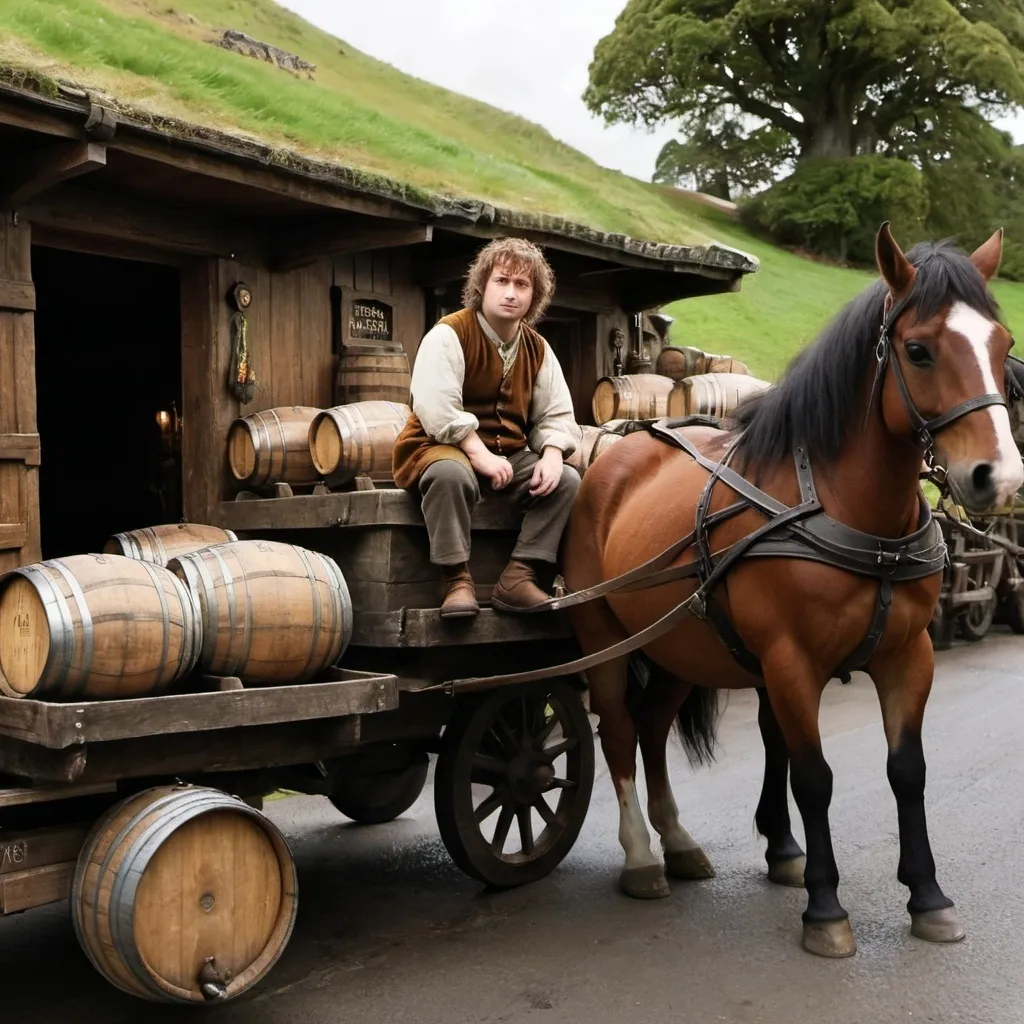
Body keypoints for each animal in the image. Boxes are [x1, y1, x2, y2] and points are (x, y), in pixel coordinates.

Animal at [561, 224, 1024, 958]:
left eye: (1002, 347)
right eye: (918, 350)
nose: (998, 478)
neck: (850, 511)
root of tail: (618, 452)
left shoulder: (908, 656)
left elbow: (908, 770)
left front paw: (928, 896)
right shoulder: (789, 662)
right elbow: (812, 776)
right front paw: (825, 907)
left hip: (677, 644)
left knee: (654, 728)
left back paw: (677, 841)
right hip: (606, 639)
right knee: (619, 730)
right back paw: (639, 856)